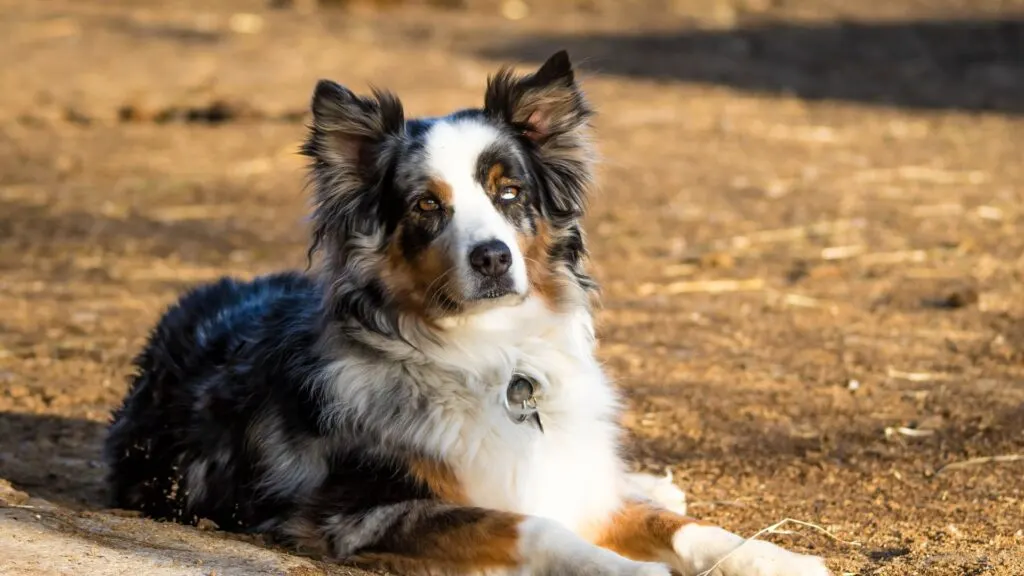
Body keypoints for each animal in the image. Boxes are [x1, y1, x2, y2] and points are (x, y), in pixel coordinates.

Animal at [103, 51, 827, 569]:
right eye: (427, 205)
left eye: (509, 193)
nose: (492, 258)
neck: (497, 358)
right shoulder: (362, 514)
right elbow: (534, 527)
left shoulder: (575, 485)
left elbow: (680, 528)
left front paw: (774, 558)